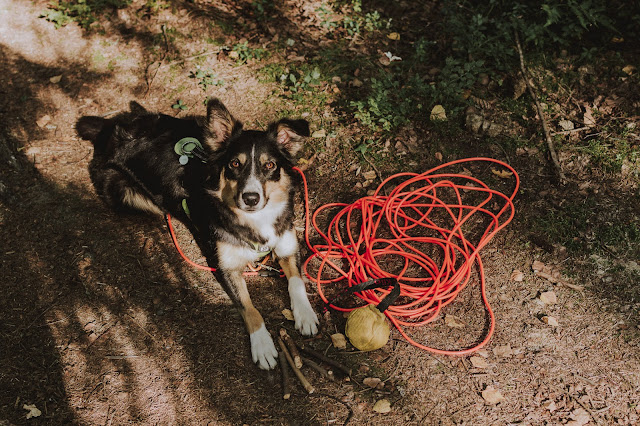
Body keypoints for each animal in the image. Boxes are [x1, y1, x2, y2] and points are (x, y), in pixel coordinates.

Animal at [77, 100, 320, 370]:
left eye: (270, 166)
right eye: (235, 164)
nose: (250, 198)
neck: (255, 219)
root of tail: (111, 128)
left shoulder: (287, 243)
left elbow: (296, 281)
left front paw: (305, 314)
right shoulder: (225, 267)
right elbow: (249, 308)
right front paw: (263, 345)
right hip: (127, 192)